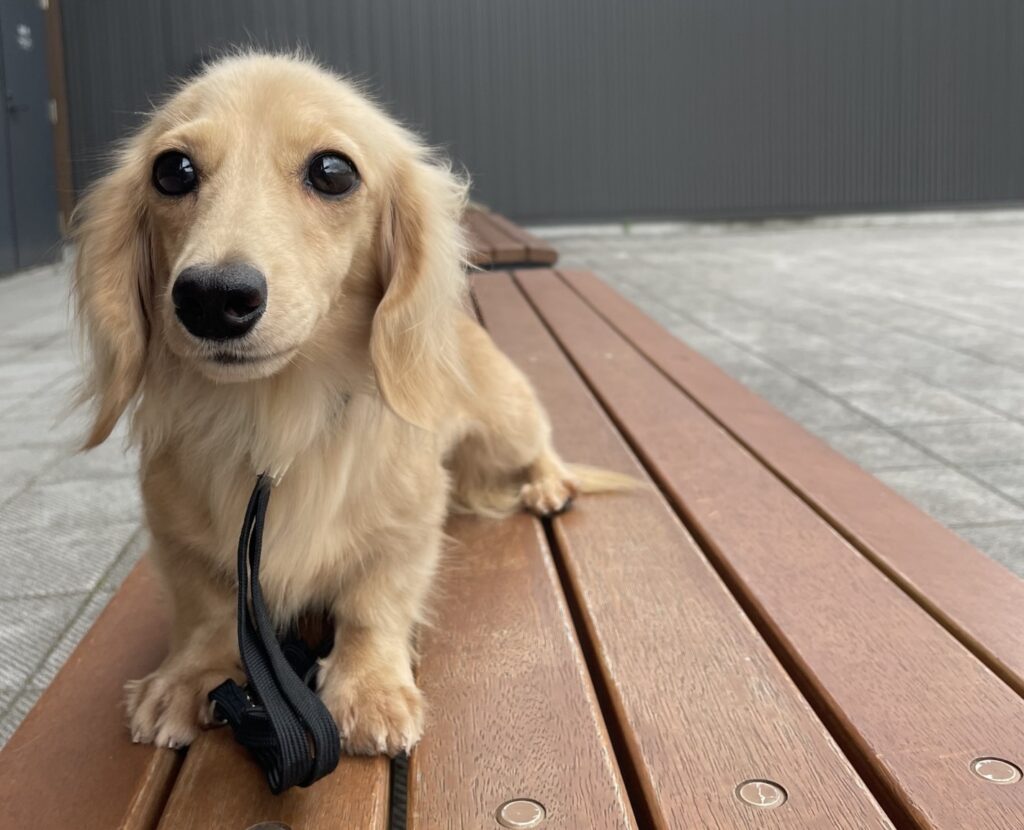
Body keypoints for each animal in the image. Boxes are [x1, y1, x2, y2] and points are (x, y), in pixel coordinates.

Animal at [72, 52, 622, 755]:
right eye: (172, 171)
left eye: (333, 171)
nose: (212, 298)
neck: (275, 420)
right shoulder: (176, 536)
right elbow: (206, 605)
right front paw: (188, 675)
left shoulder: (410, 522)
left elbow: (373, 601)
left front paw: (368, 688)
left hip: (508, 423)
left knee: (542, 447)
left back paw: (550, 485)